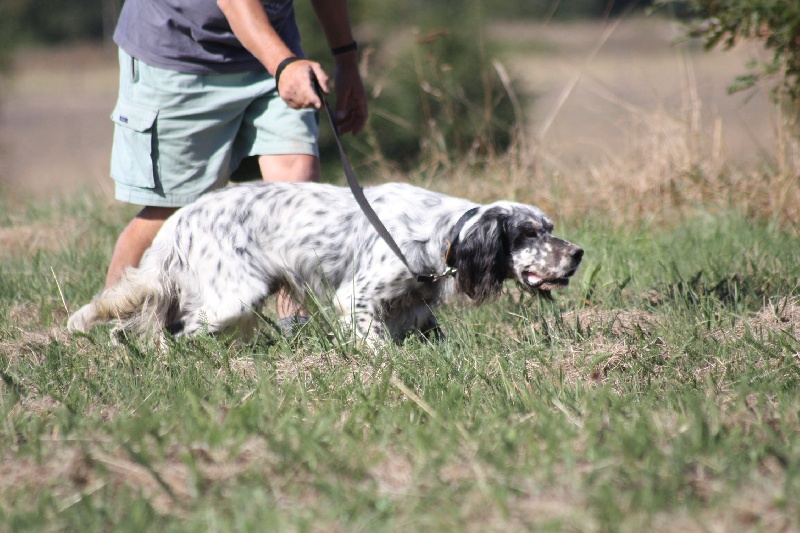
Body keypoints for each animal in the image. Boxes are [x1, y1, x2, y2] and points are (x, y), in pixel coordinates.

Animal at [67, 182, 580, 344]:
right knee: (172, 330)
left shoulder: (411, 307)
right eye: (528, 234)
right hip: (234, 298)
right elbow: (378, 348)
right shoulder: (357, 298)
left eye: (549, 227)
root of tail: (178, 219)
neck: (440, 235)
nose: (576, 254)